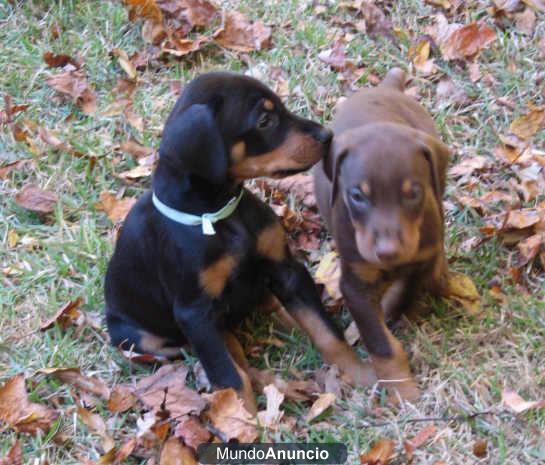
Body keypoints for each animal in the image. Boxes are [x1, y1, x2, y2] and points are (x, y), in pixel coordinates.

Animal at [105, 70, 376, 412]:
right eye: (264, 120)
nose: (327, 135)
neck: (218, 215)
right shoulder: (194, 312)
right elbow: (228, 374)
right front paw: (240, 416)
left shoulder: (286, 268)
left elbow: (325, 329)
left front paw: (363, 373)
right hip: (142, 339)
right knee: (215, 349)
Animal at [312, 67, 448, 400]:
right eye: (357, 196)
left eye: (413, 193)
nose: (387, 252)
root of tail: (387, 86)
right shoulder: (354, 284)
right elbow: (381, 343)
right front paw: (402, 389)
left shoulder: (419, 259)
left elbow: (406, 291)